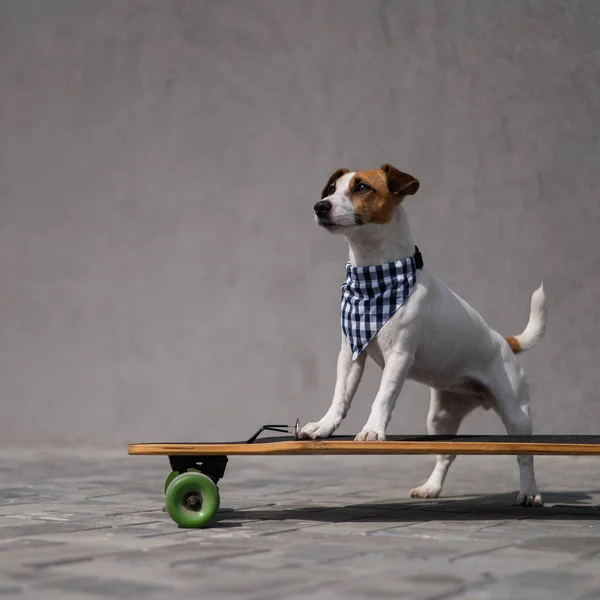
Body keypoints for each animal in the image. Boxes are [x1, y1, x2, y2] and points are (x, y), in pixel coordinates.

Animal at [300, 163, 548, 506]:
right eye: (333, 189)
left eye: (361, 187)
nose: (320, 206)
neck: (372, 278)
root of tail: (504, 341)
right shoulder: (351, 353)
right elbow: (340, 396)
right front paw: (323, 427)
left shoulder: (399, 357)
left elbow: (382, 397)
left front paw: (372, 430)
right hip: (441, 417)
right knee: (446, 453)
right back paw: (431, 487)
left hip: (516, 413)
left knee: (525, 454)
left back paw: (529, 491)